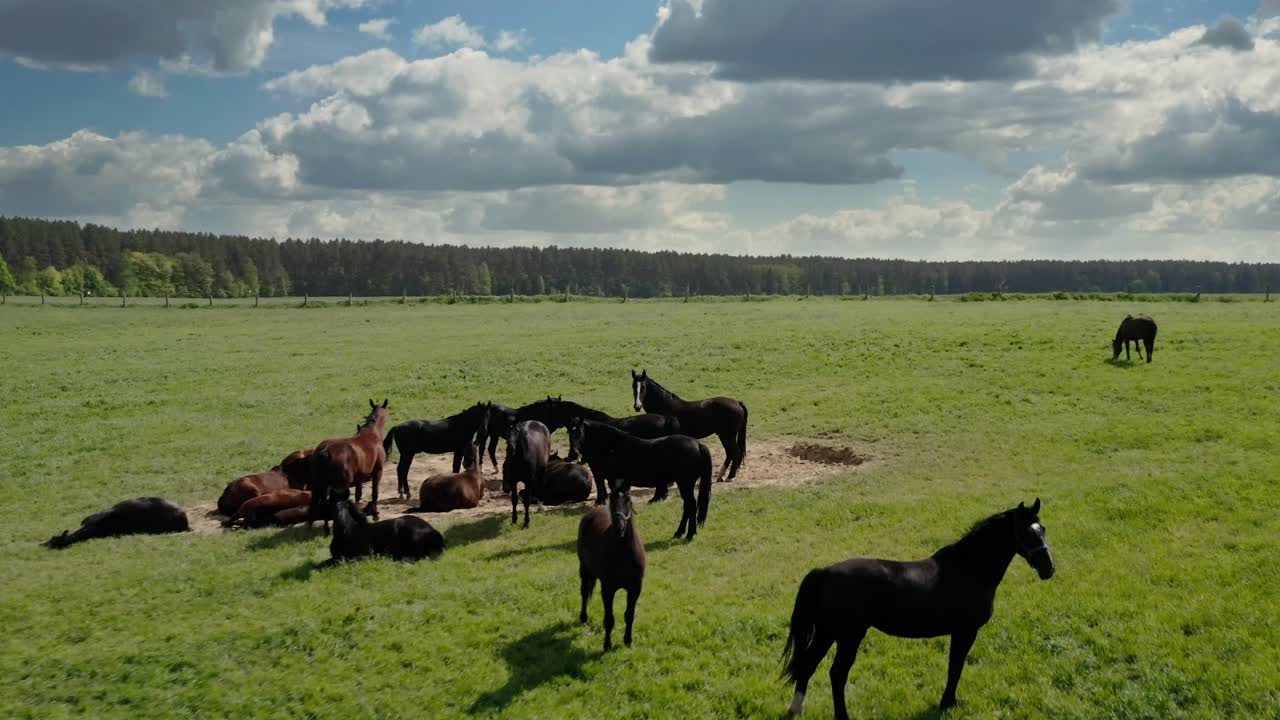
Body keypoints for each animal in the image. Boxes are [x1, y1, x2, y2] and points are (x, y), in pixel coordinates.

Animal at [307, 399, 390, 533]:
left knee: (317, 502)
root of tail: (324, 450)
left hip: (319, 484)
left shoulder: (360, 478)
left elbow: (358, 495)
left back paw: (320, 527)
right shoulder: (378, 471)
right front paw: (375, 516)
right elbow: (374, 493)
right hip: (339, 486)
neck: (372, 434)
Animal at [568, 418, 711, 540]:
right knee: (688, 506)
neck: (613, 447)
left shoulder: (614, 482)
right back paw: (680, 532)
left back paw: (689, 534)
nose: (573, 454)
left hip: (685, 484)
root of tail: (698, 445)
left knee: (690, 505)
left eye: (580, 432)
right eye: (569, 433)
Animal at [577, 479, 646, 651]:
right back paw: (583, 618)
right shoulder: (608, 589)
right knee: (584, 592)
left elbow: (629, 615)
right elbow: (609, 618)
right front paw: (607, 644)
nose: (619, 528)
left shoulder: (635, 589)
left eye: (628, 500)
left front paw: (628, 640)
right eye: (612, 500)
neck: (623, 553)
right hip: (584, 569)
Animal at [780, 499, 1056, 719]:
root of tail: (825, 572)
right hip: (848, 636)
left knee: (807, 666)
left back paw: (795, 710)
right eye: (1026, 533)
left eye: (1042, 529)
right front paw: (948, 703)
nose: (1048, 569)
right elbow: (955, 667)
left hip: (827, 634)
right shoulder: (965, 631)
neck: (969, 568)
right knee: (837, 674)